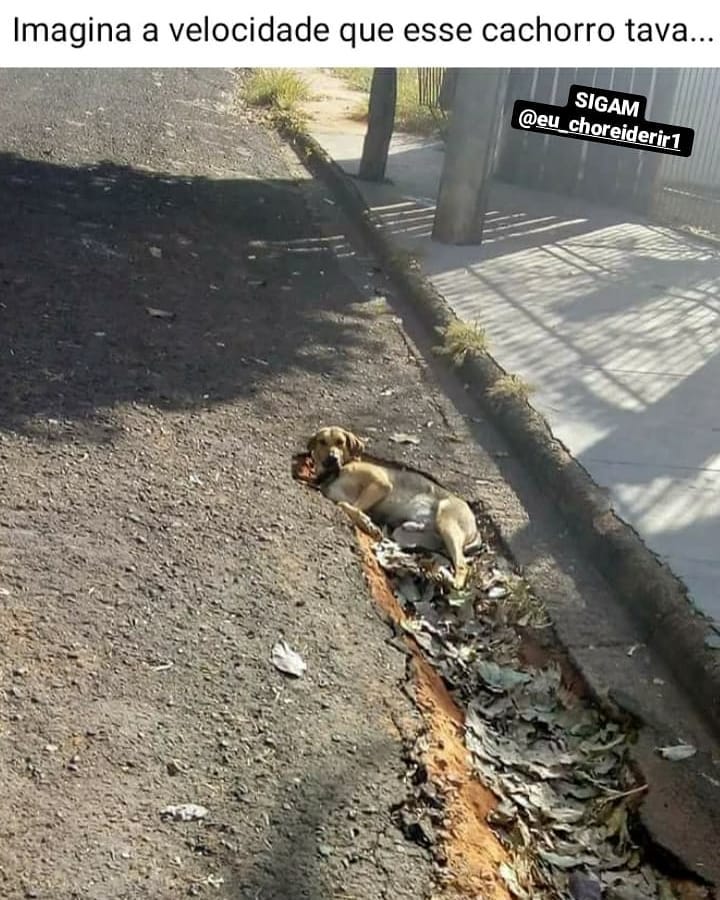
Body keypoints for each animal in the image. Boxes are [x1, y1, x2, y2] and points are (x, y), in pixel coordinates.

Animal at [306, 428, 478, 592]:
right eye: (322, 442)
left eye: (340, 442)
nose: (332, 458)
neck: (336, 472)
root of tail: (475, 526)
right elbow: (344, 504)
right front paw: (365, 521)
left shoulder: (381, 484)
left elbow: (350, 506)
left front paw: (366, 523)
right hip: (405, 534)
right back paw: (413, 527)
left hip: (447, 522)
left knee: (463, 564)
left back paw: (455, 582)